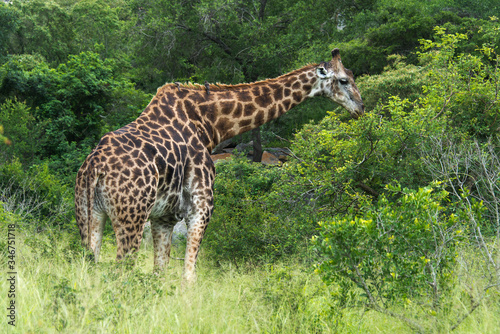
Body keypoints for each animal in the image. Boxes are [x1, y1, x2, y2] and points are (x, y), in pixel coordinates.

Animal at [74, 48, 364, 284]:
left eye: (351, 76)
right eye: (343, 80)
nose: (360, 107)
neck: (211, 125)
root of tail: (94, 167)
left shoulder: (163, 217)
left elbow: (160, 273)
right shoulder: (200, 208)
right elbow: (188, 277)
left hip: (90, 215)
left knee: (91, 266)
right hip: (131, 217)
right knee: (120, 272)